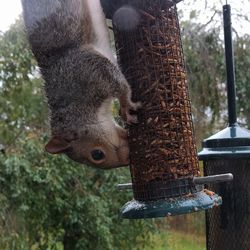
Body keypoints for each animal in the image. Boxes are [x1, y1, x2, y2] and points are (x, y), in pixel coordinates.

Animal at [21, 0, 141, 169]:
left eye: (97, 154)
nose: (126, 161)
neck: (76, 106)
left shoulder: (87, 71)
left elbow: (118, 84)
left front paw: (125, 106)